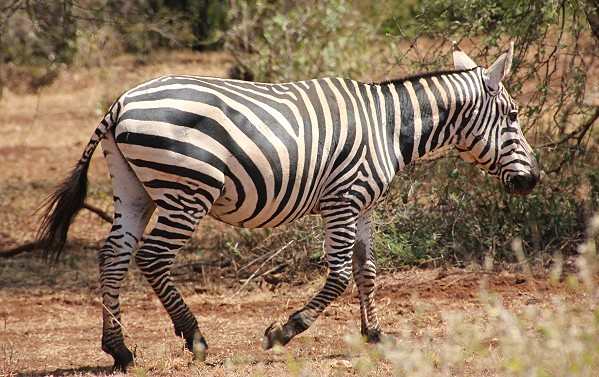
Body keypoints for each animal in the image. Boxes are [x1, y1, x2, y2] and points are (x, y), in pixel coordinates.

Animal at [35, 42, 540, 368]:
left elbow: (366, 269)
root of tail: (120, 102)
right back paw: (195, 339)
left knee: (113, 255)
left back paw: (119, 350)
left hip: (133, 186)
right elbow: (339, 274)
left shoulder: (363, 205)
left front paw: (375, 335)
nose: (533, 180)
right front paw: (283, 331)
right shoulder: (343, 198)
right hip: (188, 189)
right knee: (153, 257)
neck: (390, 125)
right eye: (514, 116)